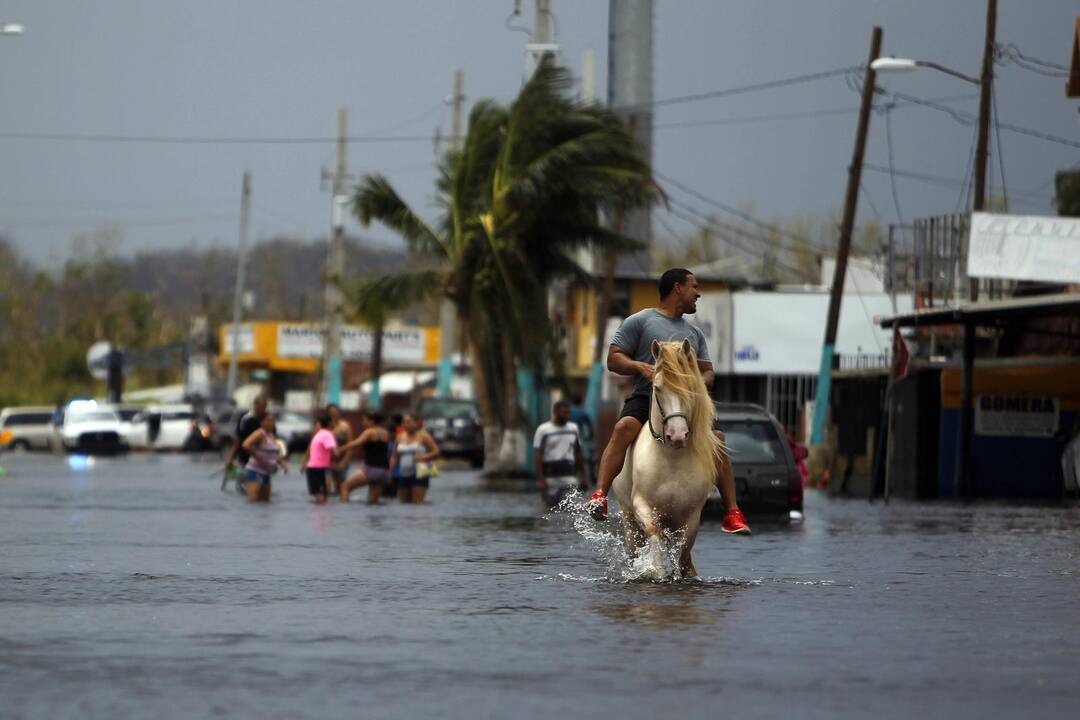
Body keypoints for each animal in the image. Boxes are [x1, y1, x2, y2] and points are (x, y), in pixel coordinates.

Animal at [609, 341, 725, 582]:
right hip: (628, 518)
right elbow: (654, 533)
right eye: (657, 388)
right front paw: (658, 572)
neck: (671, 459)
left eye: (690, 386)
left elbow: (683, 553)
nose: (678, 436)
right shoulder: (642, 506)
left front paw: (682, 575)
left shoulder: (691, 516)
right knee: (635, 548)